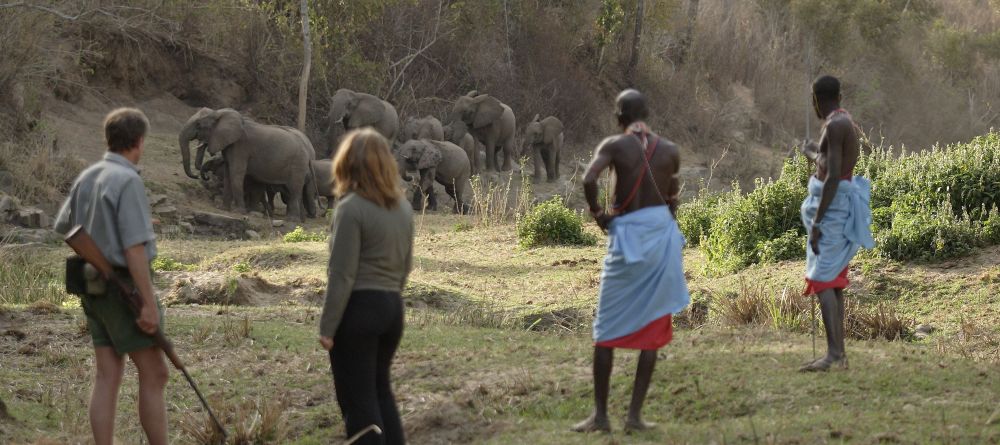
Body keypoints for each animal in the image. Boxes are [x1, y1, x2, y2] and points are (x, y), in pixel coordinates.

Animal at [179, 108, 312, 222]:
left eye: (198, 125)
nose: (199, 176)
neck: (219, 113)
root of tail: (308, 147)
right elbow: (228, 174)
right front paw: (223, 209)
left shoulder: (241, 147)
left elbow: (236, 174)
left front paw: (239, 212)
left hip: (298, 164)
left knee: (294, 189)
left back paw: (292, 220)